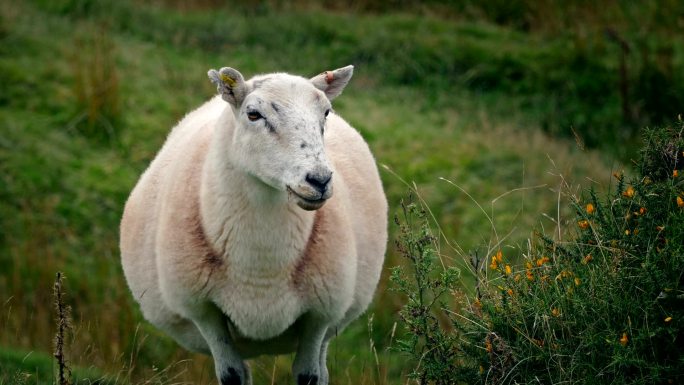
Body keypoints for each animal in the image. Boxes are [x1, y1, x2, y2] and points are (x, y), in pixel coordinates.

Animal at [120, 66, 388, 384]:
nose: (319, 180)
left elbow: (309, 376)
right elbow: (232, 375)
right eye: (253, 114)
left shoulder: (320, 315)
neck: (261, 269)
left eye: (326, 112)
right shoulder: (203, 312)